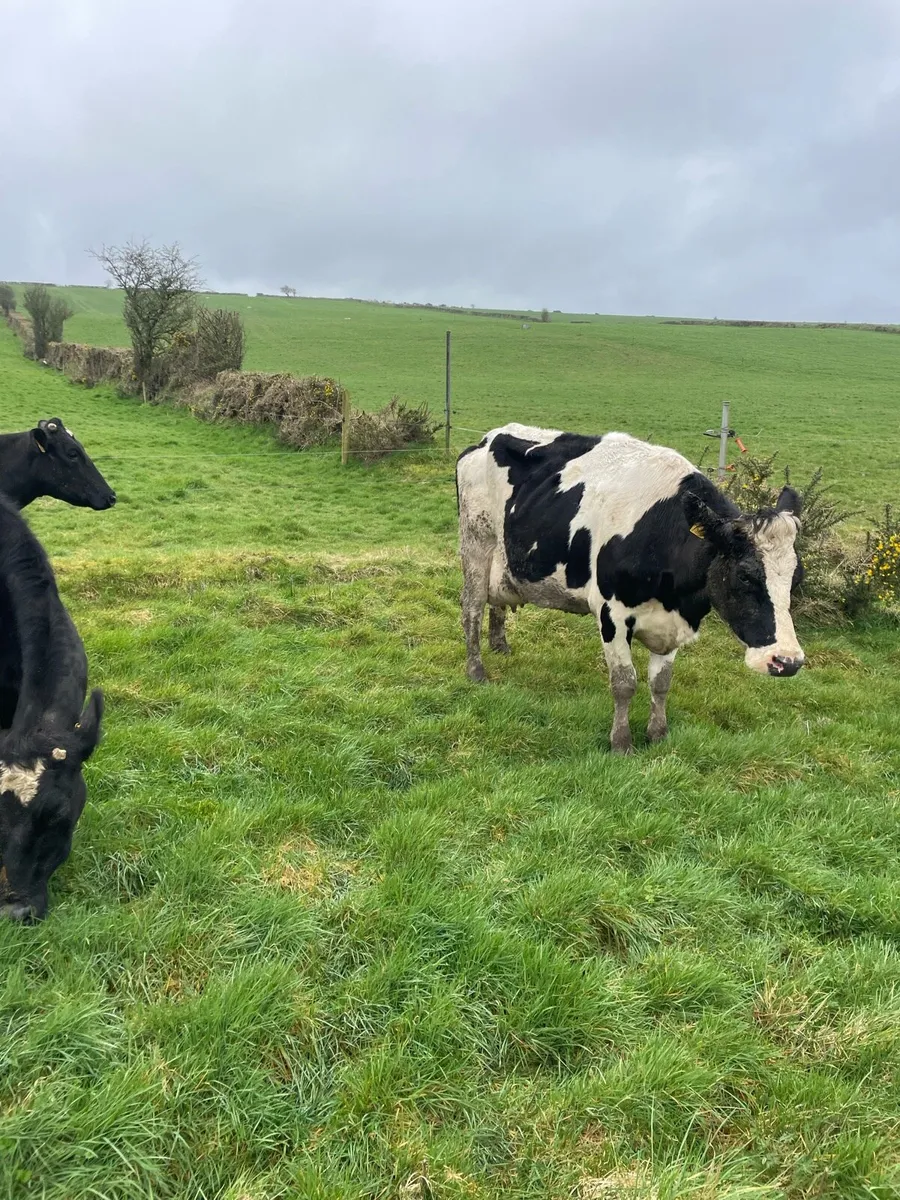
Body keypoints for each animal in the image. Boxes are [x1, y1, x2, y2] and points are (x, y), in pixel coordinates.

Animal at [456, 424, 805, 753]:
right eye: (745, 575)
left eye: (796, 577)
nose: (788, 662)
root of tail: (488, 438)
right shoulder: (611, 614)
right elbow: (624, 683)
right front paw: (621, 743)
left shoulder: (672, 621)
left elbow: (661, 682)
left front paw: (658, 734)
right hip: (476, 543)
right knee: (472, 607)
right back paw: (476, 670)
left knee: (497, 600)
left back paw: (500, 646)